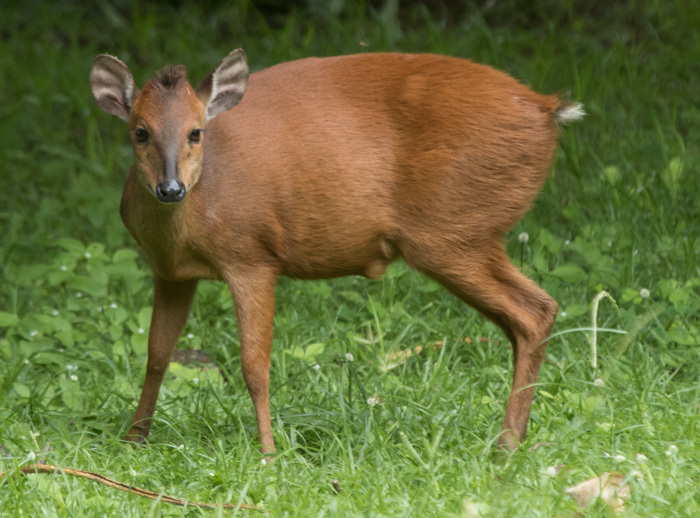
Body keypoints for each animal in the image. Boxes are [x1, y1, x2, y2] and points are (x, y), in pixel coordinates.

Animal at [91, 48, 584, 456]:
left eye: (196, 132)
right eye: (140, 132)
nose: (170, 188)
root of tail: (546, 109)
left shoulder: (252, 256)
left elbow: (255, 365)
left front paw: (269, 454)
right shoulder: (172, 273)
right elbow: (157, 356)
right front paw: (134, 440)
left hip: (455, 229)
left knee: (535, 311)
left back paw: (505, 446)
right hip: (467, 234)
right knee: (531, 315)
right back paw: (513, 441)